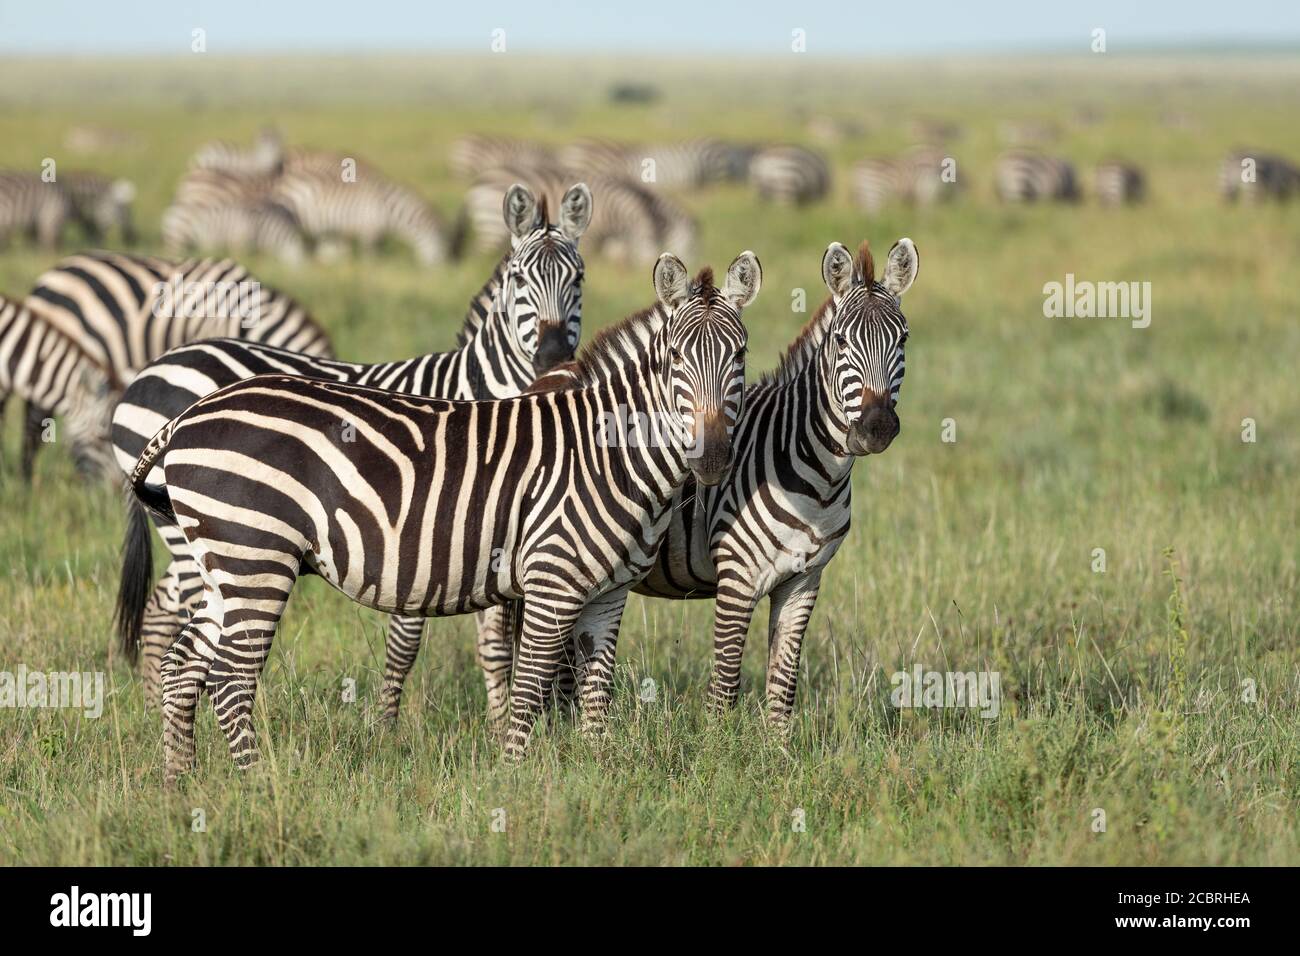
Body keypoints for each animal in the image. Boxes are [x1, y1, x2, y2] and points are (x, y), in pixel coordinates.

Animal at [113, 183, 592, 705]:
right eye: (519, 279)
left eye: (579, 279)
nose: (553, 356)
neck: (479, 388)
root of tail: (150, 370)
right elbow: (440, 639)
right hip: (200, 532)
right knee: (172, 612)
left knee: (164, 610)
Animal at [123, 250, 759, 780]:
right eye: (675, 359)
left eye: (740, 355)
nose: (712, 459)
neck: (608, 454)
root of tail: (190, 416)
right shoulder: (551, 582)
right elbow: (528, 688)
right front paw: (515, 784)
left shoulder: (609, 593)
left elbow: (597, 692)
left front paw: (599, 776)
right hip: (255, 558)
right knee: (229, 680)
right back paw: (258, 787)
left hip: (224, 567)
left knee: (184, 668)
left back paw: (179, 784)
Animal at [388, 238, 918, 733]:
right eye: (843, 343)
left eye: (904, 340)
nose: (875, 428)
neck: (814, 472)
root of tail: (545, 379)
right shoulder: (738, 575)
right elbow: (726, 682)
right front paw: (722, 753)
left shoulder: (805, 580)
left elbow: (783, 681)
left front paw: (778, 751)